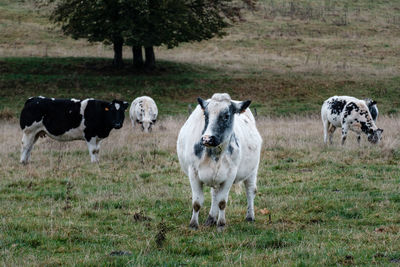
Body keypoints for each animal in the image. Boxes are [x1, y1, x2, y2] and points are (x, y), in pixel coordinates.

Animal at [177, 93, 260, 231]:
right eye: (206, 115)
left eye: (226, 116)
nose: (207, 139)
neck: (214, 153)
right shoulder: (193, 172)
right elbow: (197, 202)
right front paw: (193, 224)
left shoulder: (230, 174)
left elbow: (222, 202)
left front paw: (221, 224)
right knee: (214, 194)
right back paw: (211, 218)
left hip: (253, 170)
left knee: (250, 191)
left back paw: (250, 216)